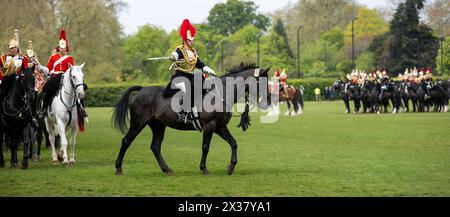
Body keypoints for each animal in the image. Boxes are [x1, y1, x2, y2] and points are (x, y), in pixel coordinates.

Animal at [114, 64, 272, 176]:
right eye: (262, 82)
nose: (268, 101)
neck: (220, 94)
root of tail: (141, 90)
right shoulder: (209, 126)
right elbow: (205, 147)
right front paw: (204, 169)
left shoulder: (220, 127)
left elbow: (233, 143)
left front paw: (231, 167)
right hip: (138, 123)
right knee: (126, 141)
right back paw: (118, 169)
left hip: (158, 126)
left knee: (155, 147)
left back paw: (167, 170)